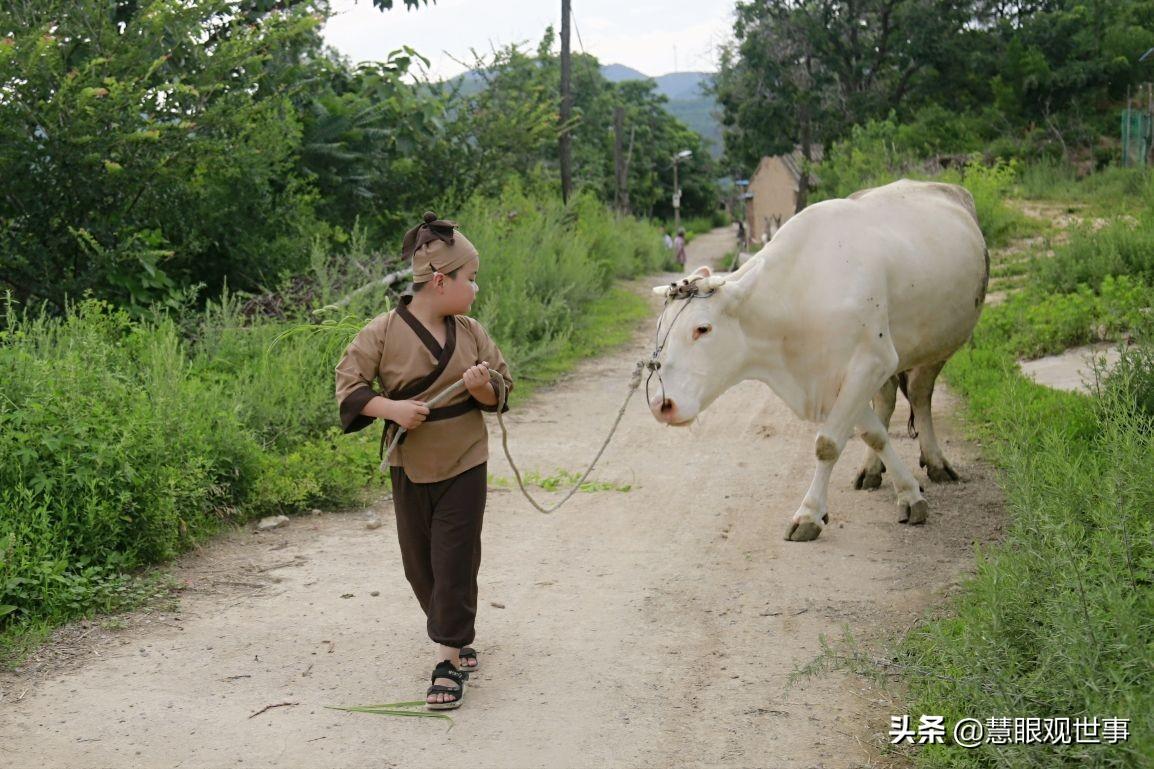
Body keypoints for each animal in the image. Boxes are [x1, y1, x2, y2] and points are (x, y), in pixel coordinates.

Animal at [646, 178, 987, 538]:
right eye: (660, 328)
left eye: (702, 328)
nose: (661, 404)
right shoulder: (836, 379)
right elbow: (874, 434)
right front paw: (908, 493)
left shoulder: (871, 362)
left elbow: (828, 443)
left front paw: (809, 514)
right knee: (887, 402)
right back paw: (871, 470)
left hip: (938, 345)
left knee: (921, 396)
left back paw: (936, 463)